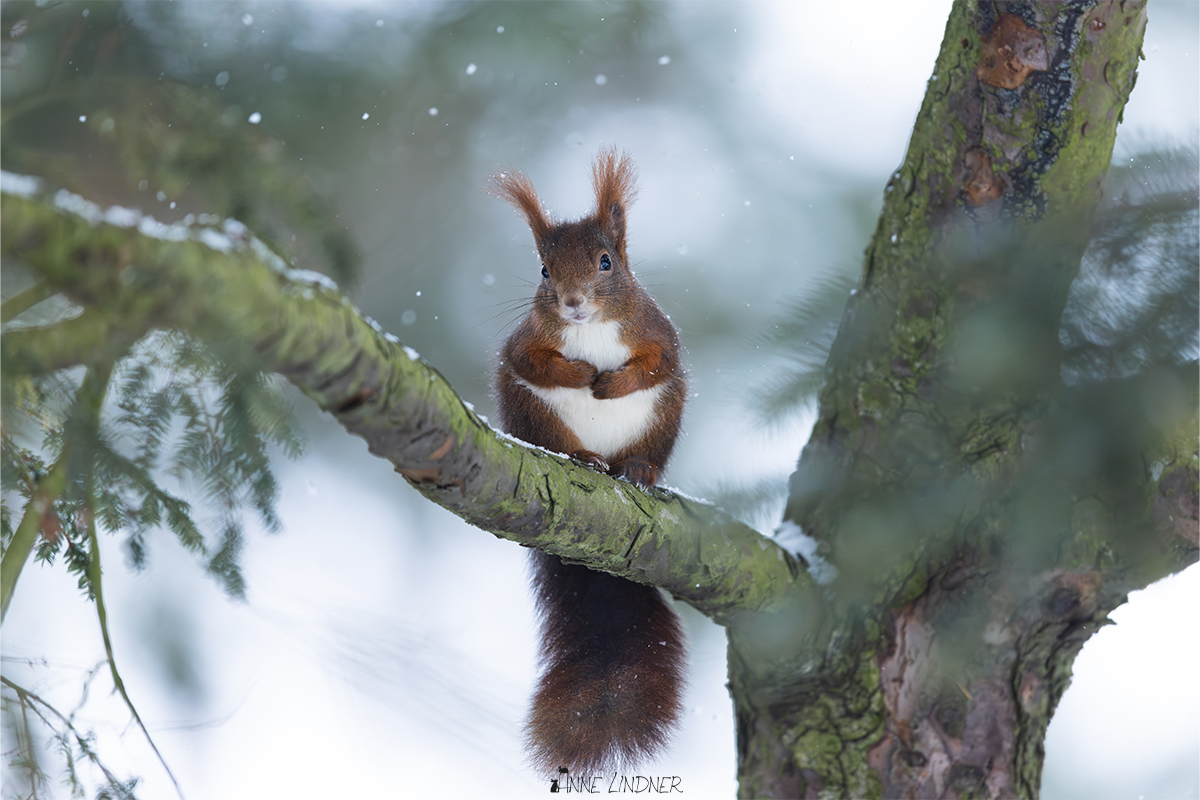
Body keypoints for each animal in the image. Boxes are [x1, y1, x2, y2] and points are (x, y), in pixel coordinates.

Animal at [490, 148, 687, 776]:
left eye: (605, 262)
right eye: (544, 271)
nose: (573, 304)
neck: (593, 329)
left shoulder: (658, 334)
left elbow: (654, 363)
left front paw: (611, 383)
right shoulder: (523, 346)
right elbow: (533, 361)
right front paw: (579, 374)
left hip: (664, 419)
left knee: (646, 451)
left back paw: (637, 470)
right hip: (532, 416)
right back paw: (583, 458)